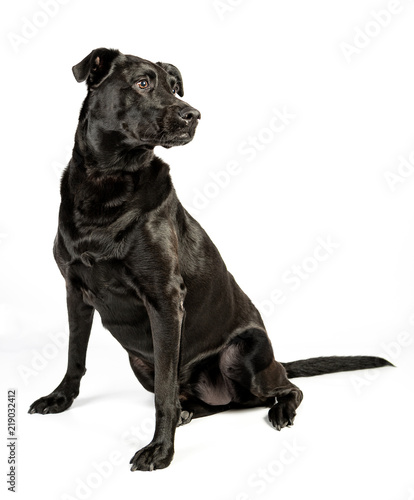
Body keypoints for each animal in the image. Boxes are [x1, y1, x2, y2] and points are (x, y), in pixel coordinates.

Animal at [28, 48, 392, 470]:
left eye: (174, 87)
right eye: (142, 83)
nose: (194, 114)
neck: (107, 182)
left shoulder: (165, 300)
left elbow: (163, 394)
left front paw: (160, 450)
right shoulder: (75, 292)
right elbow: (75, 356)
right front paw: (60, 398)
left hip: (244, 354)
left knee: (287, 388)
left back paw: (279, 410)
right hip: (140, 362)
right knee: (208, 402)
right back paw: (190, 412)